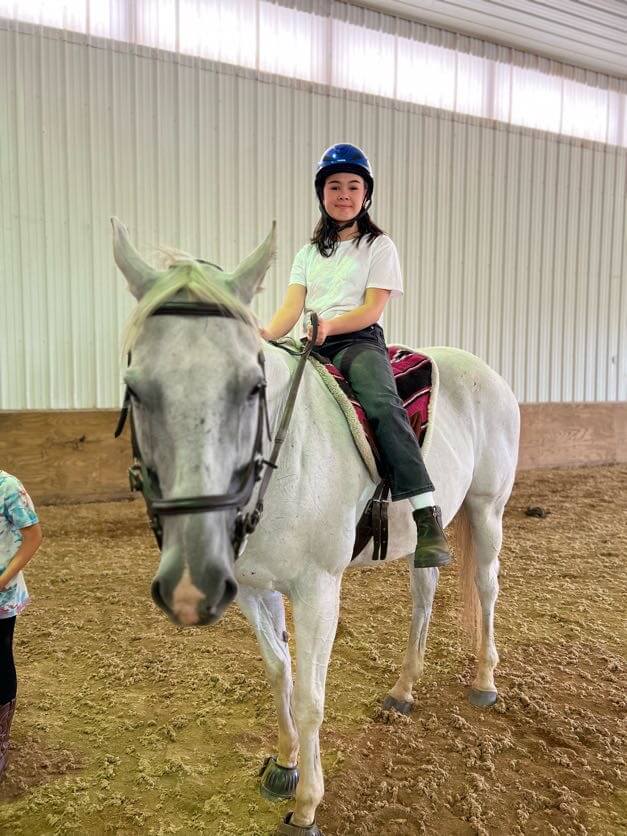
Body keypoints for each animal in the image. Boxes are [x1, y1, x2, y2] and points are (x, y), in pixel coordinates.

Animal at [111, 218, 520, 835]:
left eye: (252, 386)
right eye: (136, 388)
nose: (189, 585)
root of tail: (486, 372)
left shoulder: (318, 591)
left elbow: (309, 696)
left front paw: (306, 806)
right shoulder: (252, 588)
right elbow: (279, 673)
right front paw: (284, 766)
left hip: (486, 508)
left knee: (486, 588)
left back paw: (484, 683)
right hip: (429, 532)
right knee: (424, 593)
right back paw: (403, 689)